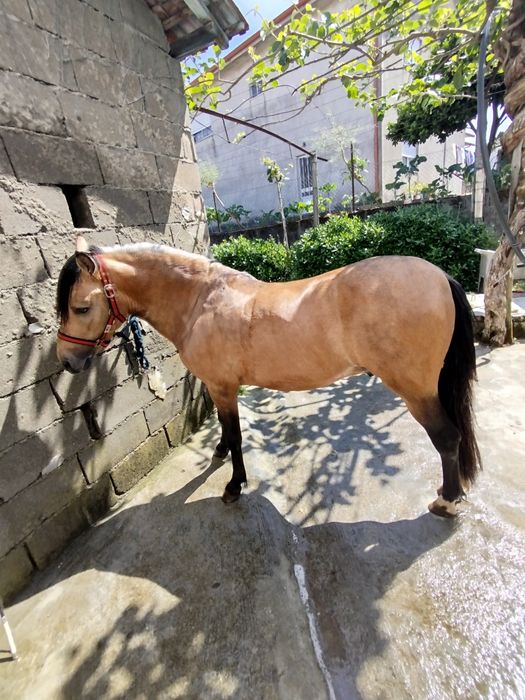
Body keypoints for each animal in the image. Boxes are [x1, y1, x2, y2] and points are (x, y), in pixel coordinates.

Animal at [56, 236, 481, 518]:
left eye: (80, 307)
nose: (68, 362)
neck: (199, 300)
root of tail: (439, 276)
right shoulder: (220, 387)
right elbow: (225, 429)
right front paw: (219, 453)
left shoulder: (223, 387)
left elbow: (236, 434)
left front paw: (233, 486)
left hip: (416, 391)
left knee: (447, 438)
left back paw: (446, 500)